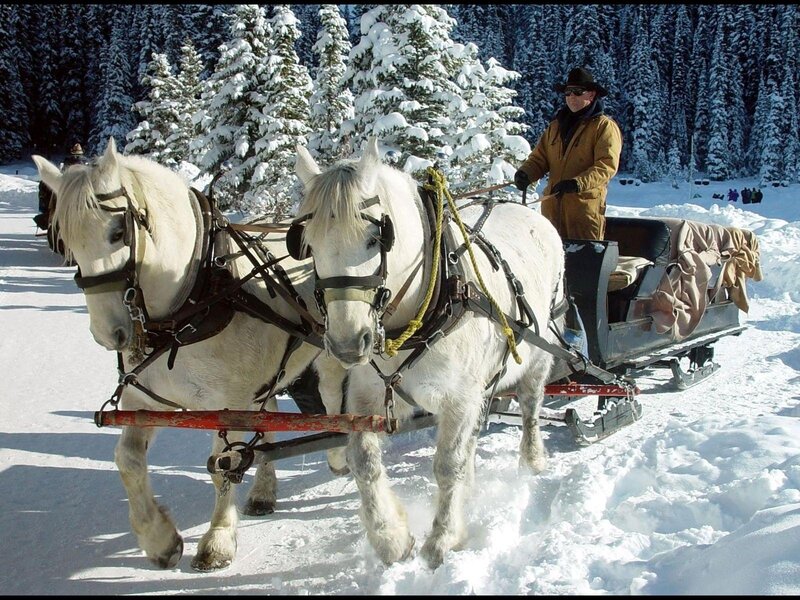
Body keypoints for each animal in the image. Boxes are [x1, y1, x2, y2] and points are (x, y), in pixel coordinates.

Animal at [32, 138, 346, 571]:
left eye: (118, 231)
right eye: (66, 239)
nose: (108, 333)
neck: (195, 302)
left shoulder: (229, 406)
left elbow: (223, 466)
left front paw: (218, 541)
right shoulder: (143, 400)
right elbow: (127, 460)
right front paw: (160, 540)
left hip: (330, 358)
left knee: (333, 404)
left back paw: (339, 454)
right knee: (269, 422)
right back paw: (264, 492)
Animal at [293, 137, 567, 568]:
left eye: (376, 238)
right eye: (309, 245)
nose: (346, 344)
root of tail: (525, 209)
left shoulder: (459, 397)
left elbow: (447, 465)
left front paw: (442, 539)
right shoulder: (369, 395)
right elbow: (363, 460)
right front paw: (390, 538)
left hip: (539, 354)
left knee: (530, 406)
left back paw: (532, 459)